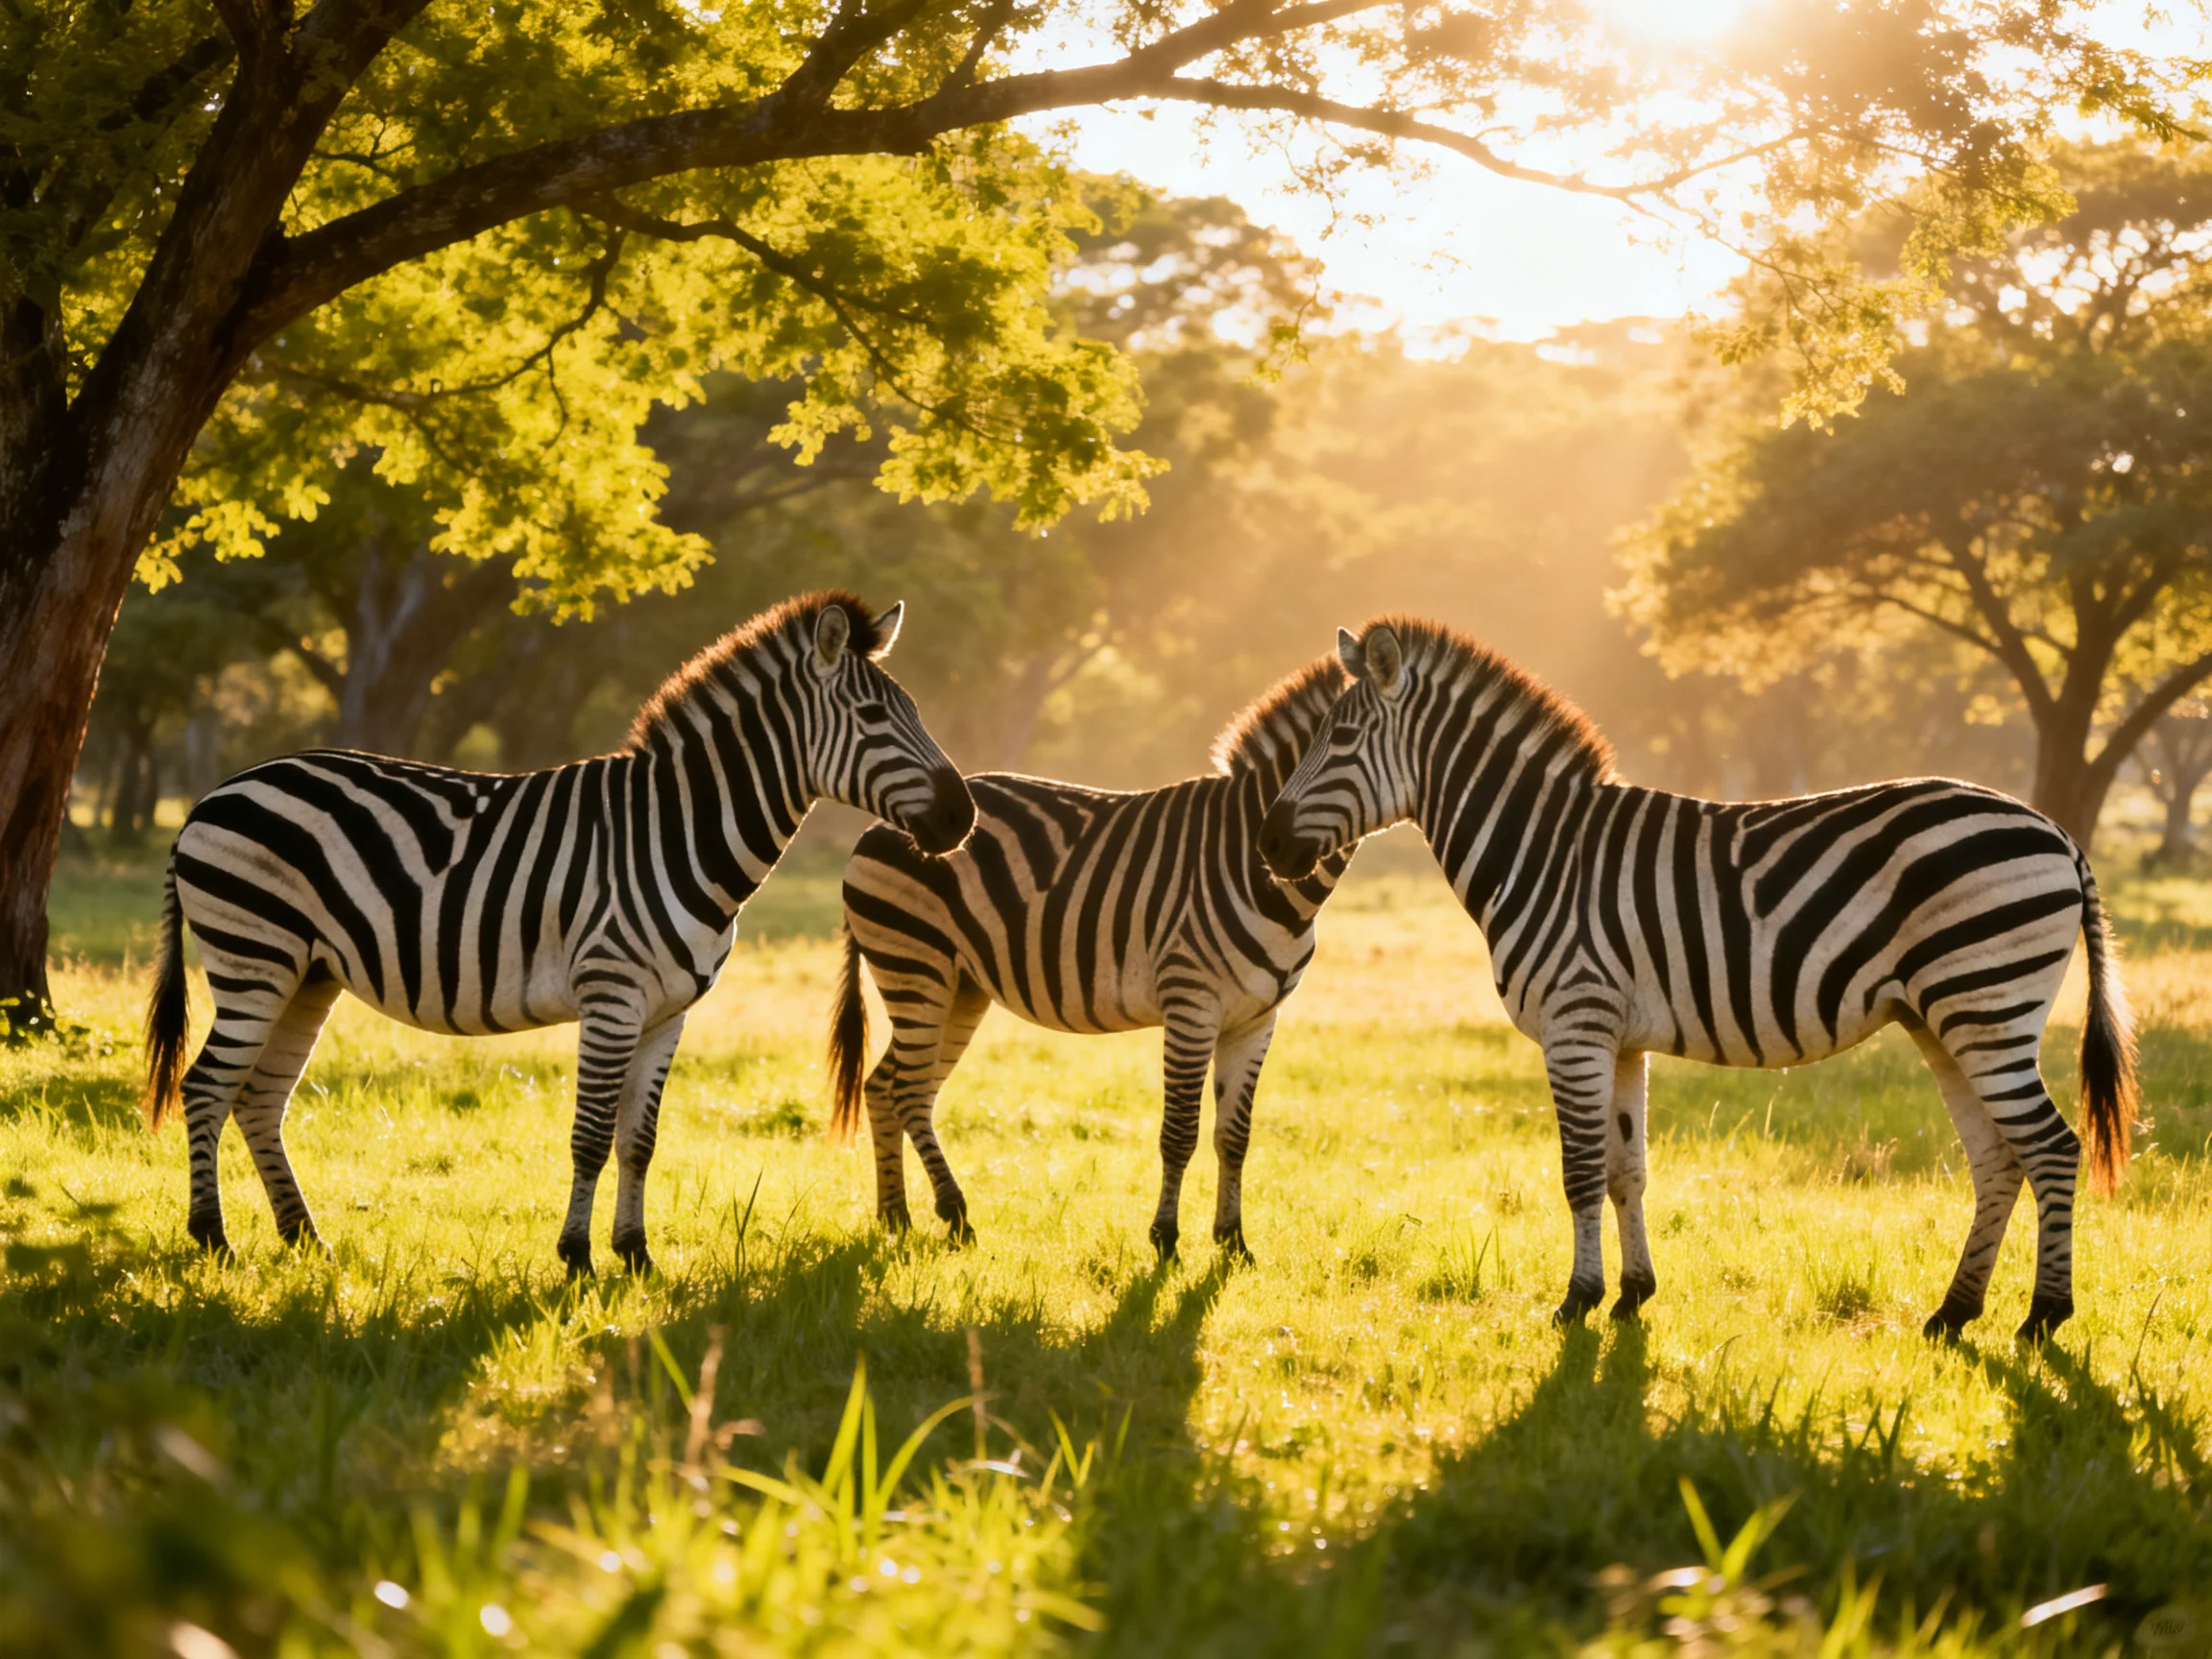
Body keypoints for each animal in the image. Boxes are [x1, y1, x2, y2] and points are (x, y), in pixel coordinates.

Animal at [143, 591, 975, 1277]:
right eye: (874, 719)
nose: (962, 817)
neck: (677, 833)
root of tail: (212, 797)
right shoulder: (611, 995)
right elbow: (592, 1135)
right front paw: (576, 1258)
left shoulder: (668, 1012)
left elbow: (639, 1139)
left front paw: (636, 1255)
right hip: (255, 957)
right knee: (207, 1085)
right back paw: (213, 1240)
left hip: (307, 974)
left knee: (259, 1098)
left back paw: (305, 1238)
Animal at [828, 655, 1353, 1258]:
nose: (1276, 853)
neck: (1247, 857)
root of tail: (878, 825)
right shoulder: (1191, 1004)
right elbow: (1180, 1132)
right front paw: (1165, 1241)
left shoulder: (1257, 1018)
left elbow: (1234, 1135)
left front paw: (1233, 1244)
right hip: (916, 966)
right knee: (906, 1090)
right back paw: (955, 1216)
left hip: (959, 988)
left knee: (884, 1086)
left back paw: (896, 1216)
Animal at [1257, 617, 2135, 1343]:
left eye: (1340, 739)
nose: (1267, 843)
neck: (1541, 850)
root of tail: (2057, 831)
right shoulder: (1618, 1039)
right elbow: (1626, 1170)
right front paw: (1632, 1296)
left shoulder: (1575, 1023)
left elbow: (1581, 1173)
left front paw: (1576, 1302)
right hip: (1946, 1020)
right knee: (1998, 1159)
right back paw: (1953, 1315)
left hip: (1988, 1005)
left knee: (2052, 1148)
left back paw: (2043, 1318)